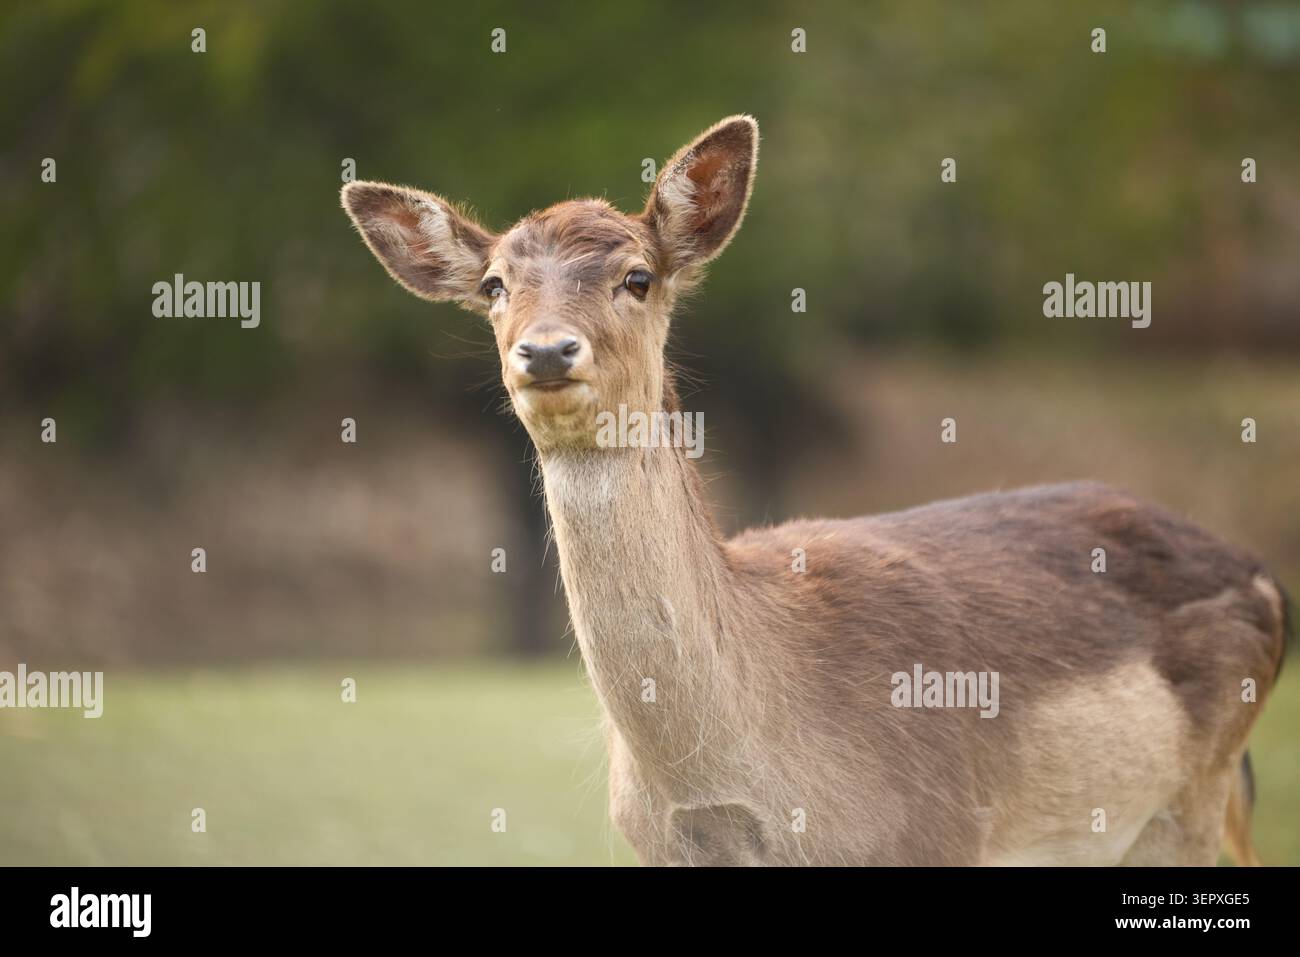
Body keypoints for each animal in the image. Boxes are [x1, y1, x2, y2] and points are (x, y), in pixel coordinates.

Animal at [342, 115, 1290, 866]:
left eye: (637, 276)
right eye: (494, 285)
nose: (544, 350)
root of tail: (1269, 581)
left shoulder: (935, 832)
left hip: (1187, 805)